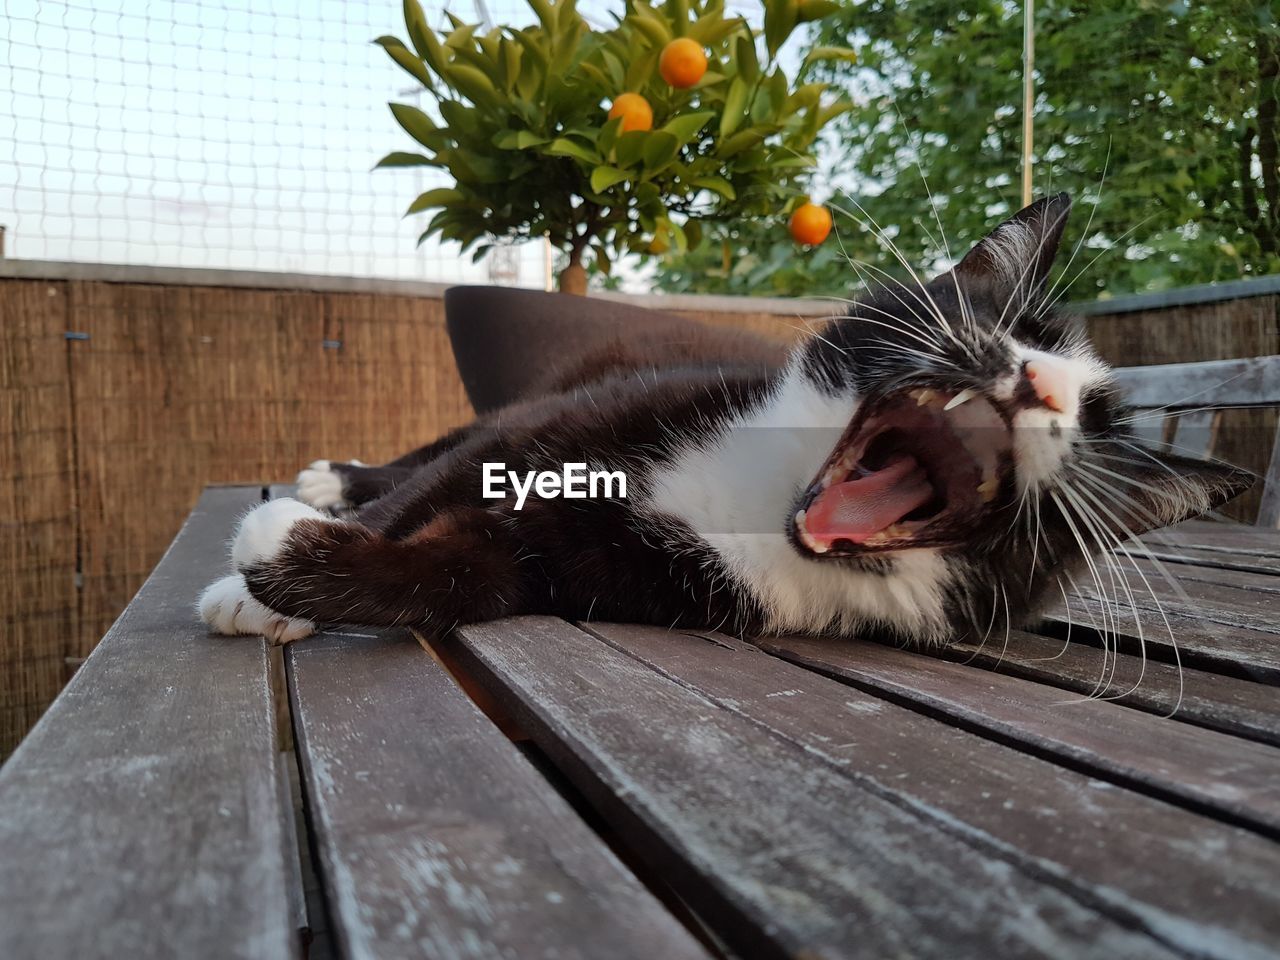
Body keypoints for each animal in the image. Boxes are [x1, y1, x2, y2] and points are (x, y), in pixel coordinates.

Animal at [197, 193, 1249, 647]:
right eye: (1010, 324)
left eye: (1100, 423)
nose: (1039, 383)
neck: (757, 497)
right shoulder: (588, 416)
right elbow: (451, 477)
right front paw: (256, 589)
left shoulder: (619, 570)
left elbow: (462, 576)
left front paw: (284, 574)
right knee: (438, 450)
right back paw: (334, 478)